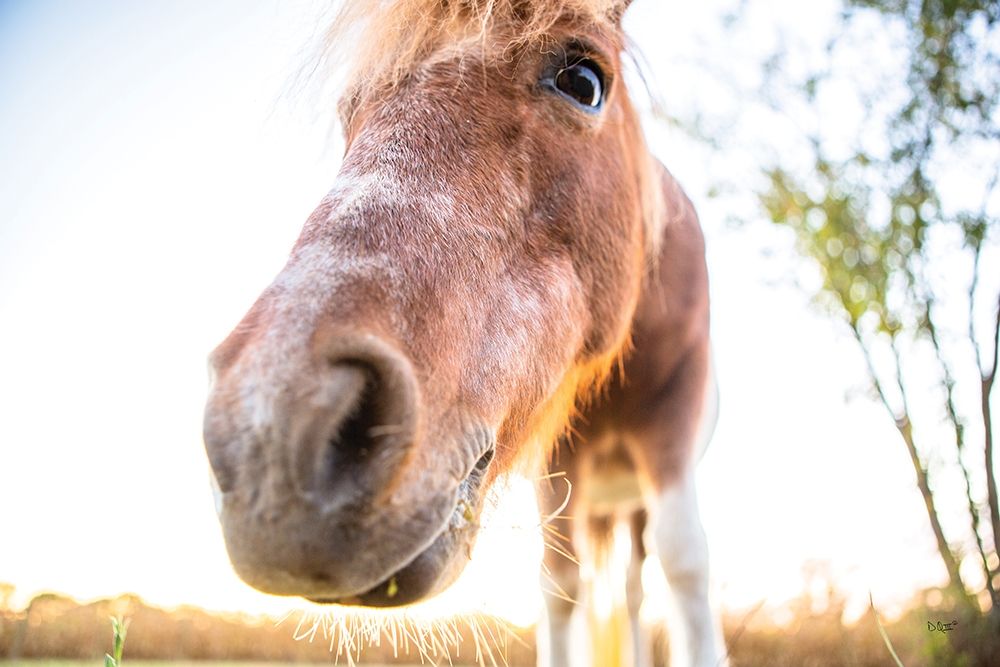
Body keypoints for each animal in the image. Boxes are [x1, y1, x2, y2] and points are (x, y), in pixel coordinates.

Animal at [202, 1, 726, 665]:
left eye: (584, 82)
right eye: (350, 109)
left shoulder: (670, 431)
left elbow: (685, 565)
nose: (268, 437)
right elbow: (559, 585)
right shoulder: (556, 464)